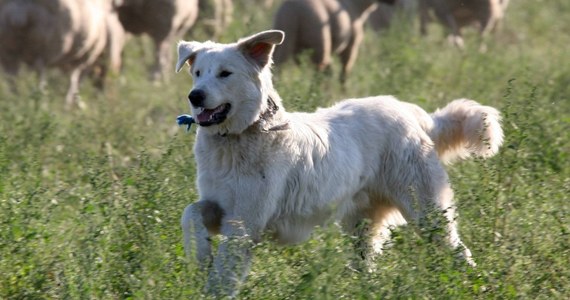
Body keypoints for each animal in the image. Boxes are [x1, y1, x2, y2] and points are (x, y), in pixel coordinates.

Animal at [176, 29, 502, 296]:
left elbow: (225, 270)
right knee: (366, 265)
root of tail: (415, 115)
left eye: (225, 73)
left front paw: (211, 289)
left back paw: (471, 285)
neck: (241, 135)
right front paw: (200, 254)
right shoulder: (221, 207)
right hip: (362, 226)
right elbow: (190, 213)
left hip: (428, 213)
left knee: (458, 252)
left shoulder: (245, 221)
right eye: (198, 73)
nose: (195, 96)